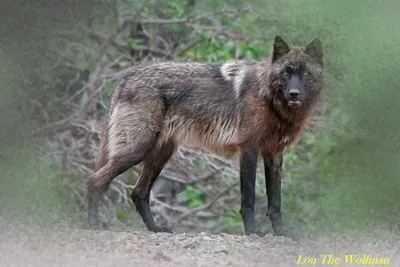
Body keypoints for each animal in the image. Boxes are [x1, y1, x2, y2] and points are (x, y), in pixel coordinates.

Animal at [85, 35, 324, 237]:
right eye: (285, 73)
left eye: (304, 74)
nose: (294, 94)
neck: (271, 100)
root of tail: (125, 77)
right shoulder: (248, 150)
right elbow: (249, 199)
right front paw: (252, 232)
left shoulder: (274, 154)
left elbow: (275, 203)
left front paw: (282, 233)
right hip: (137, 151)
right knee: (94, 180)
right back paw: (93, 225)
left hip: (160, 155)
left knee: (138, 193)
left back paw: (156, 229)